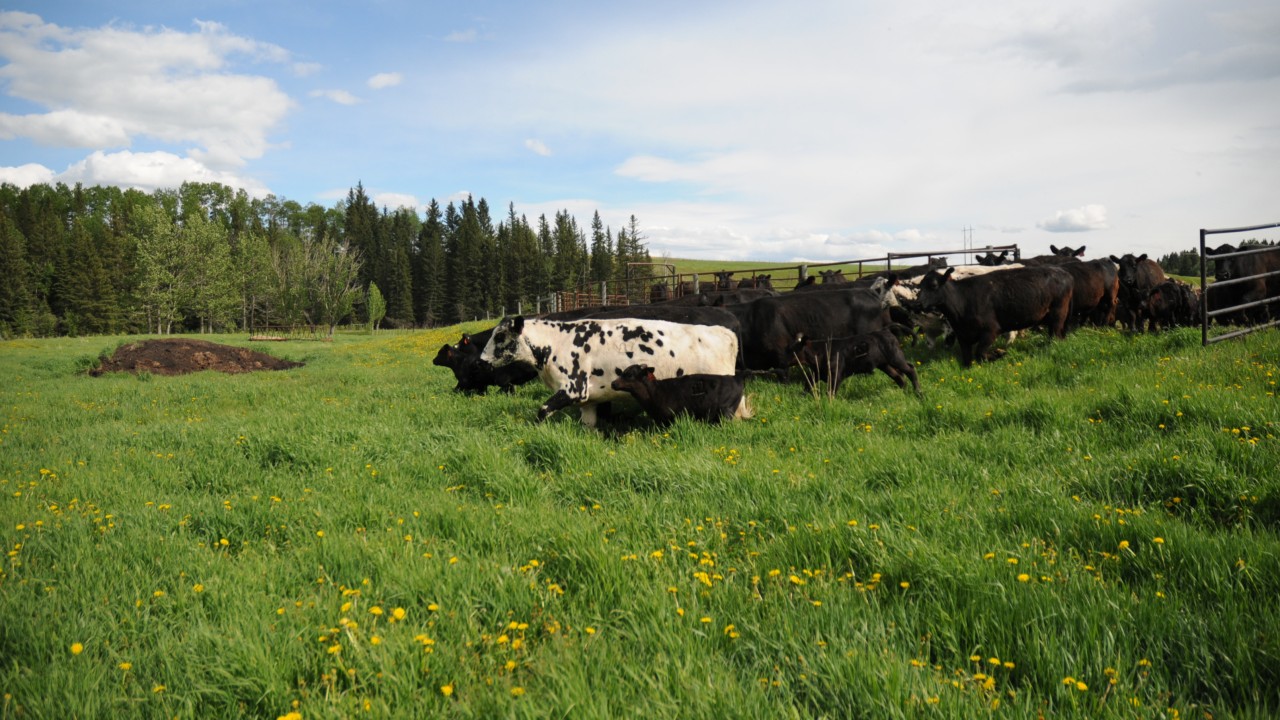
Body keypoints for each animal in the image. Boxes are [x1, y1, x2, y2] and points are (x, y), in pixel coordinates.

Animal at [788, 328, 919, 394]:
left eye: (792, 350)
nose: (784, 362)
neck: (820, 351)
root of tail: (887, 331)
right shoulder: (816, 373)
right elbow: (808, 384)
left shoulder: (835, 376)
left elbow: (831, 392)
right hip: (885, 364)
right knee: (898, 377)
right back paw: (904, 391)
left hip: (896, 358)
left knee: (910, 370)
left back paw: (918, 393)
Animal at [915, 266, 1073, 367]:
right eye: (920, 286)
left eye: (934, 285)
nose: (917, 304)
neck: (963, 302)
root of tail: (1064, 272)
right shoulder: (963, 336)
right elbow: (967, 361)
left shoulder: (991, 331)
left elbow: (980, 353)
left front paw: (999, 353)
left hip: (1058, 314)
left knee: (1055, 337)